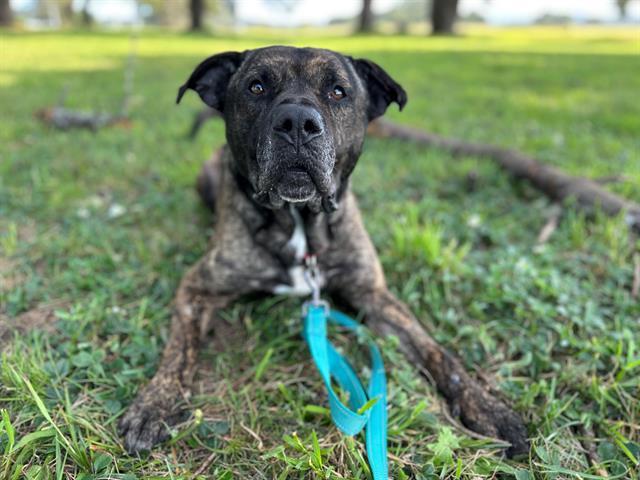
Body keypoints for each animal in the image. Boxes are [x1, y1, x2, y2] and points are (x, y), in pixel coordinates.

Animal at [117, 45, 528, 458]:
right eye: (256, 86)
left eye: (338, 92)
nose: (297, 122)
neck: (299, 221)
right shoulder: (197, 288)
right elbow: (178, 351)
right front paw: (154, 404)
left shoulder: (374, 294)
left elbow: (438, 353)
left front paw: (489, 409)